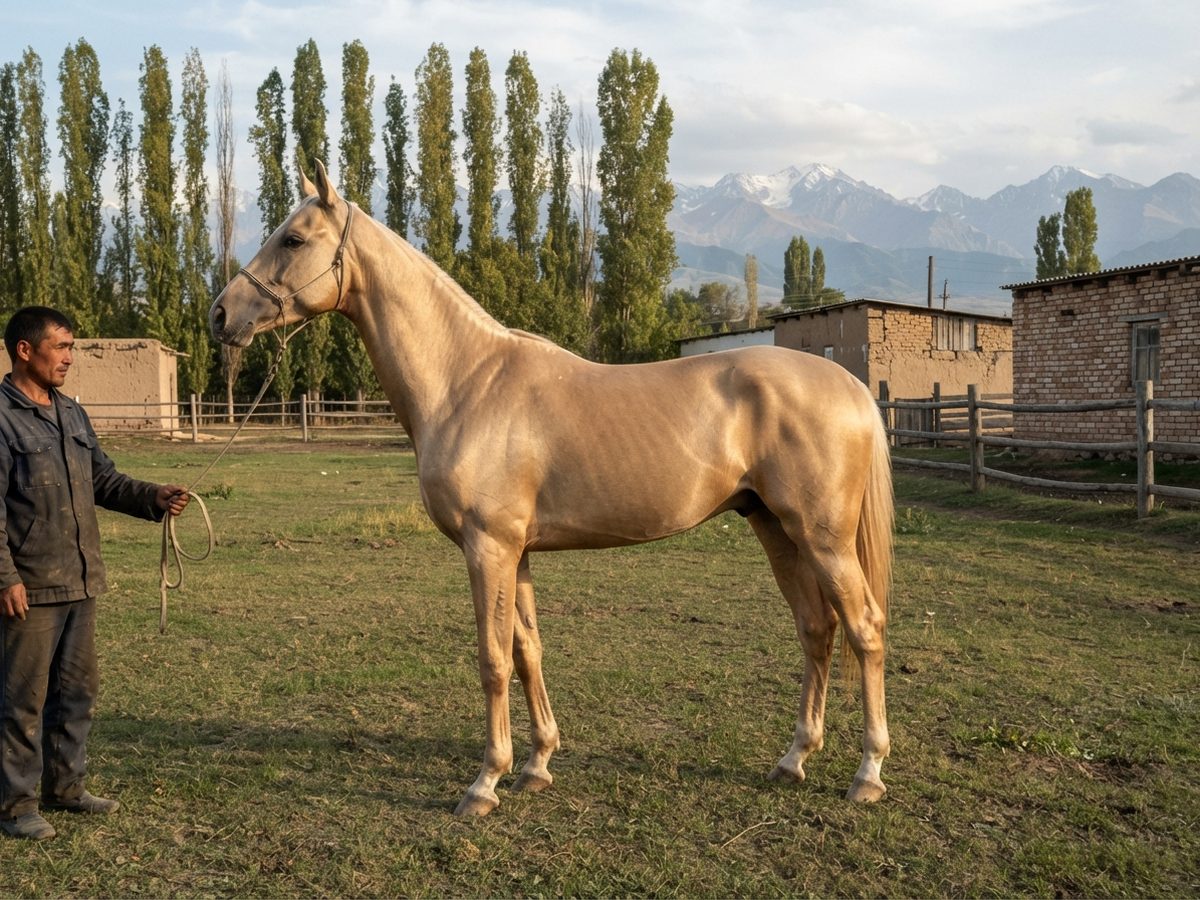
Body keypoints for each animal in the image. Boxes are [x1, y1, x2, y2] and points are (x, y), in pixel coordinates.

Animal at [209, 162, 894, 817]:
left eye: (293, 239)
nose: (220, 315)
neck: (467, 381)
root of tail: (851, 385)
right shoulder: (517, 553)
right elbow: (527, 650)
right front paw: (537, 764)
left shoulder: (488, 548)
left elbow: (491, 660)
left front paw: (485, 782)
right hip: (774, 528)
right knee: (816, 629)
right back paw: (793, 759)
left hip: (823, 539)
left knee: (863, 628)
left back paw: (867, 774)